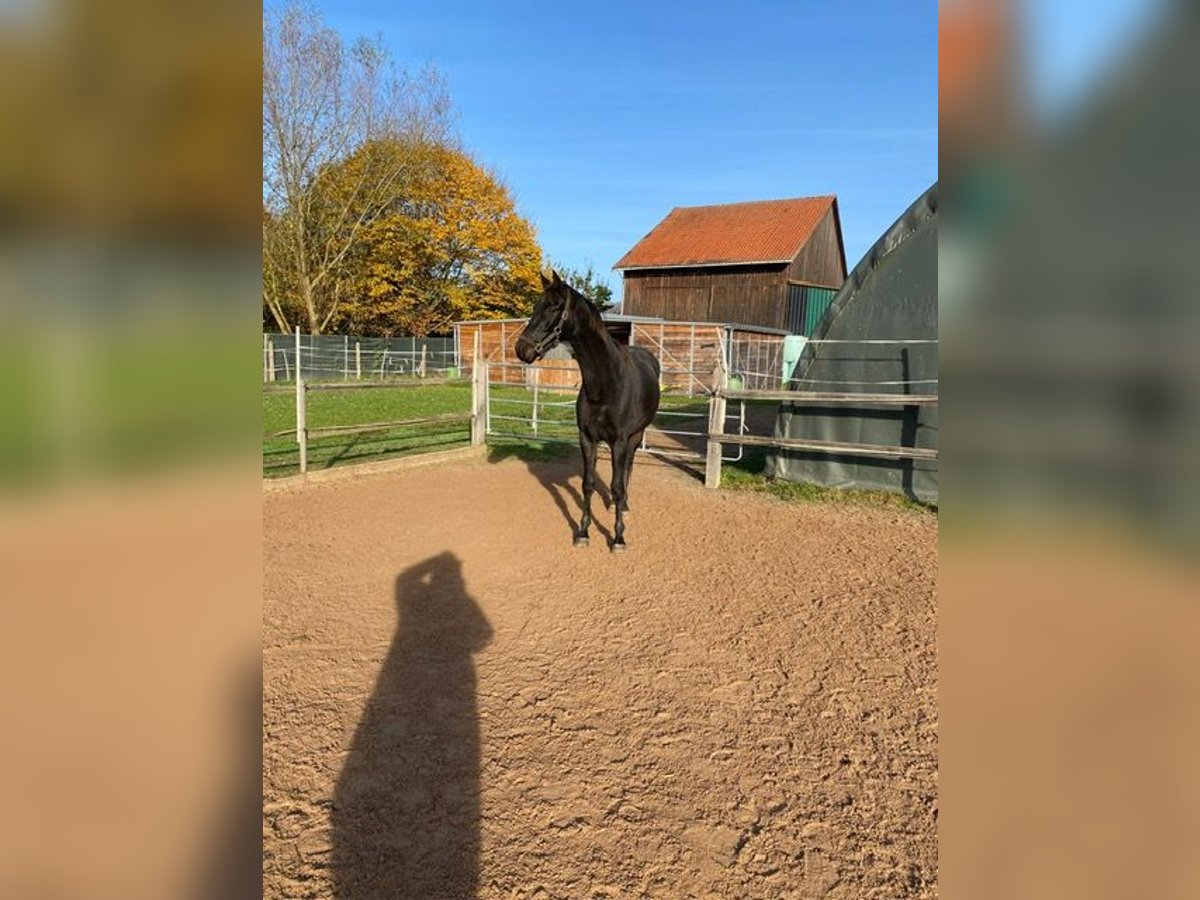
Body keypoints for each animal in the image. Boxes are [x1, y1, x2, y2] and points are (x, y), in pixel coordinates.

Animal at [513, 270, 662, 549]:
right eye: (536, 305)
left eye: (554, 306)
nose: (522, 349)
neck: (606, 384)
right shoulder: (587, 438)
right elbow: (588, 484)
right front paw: (583, 531)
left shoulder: (619, 441)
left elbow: (616, 485)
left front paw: (618, 536)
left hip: (635, 436)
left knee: (628, 467)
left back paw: (624, 505)